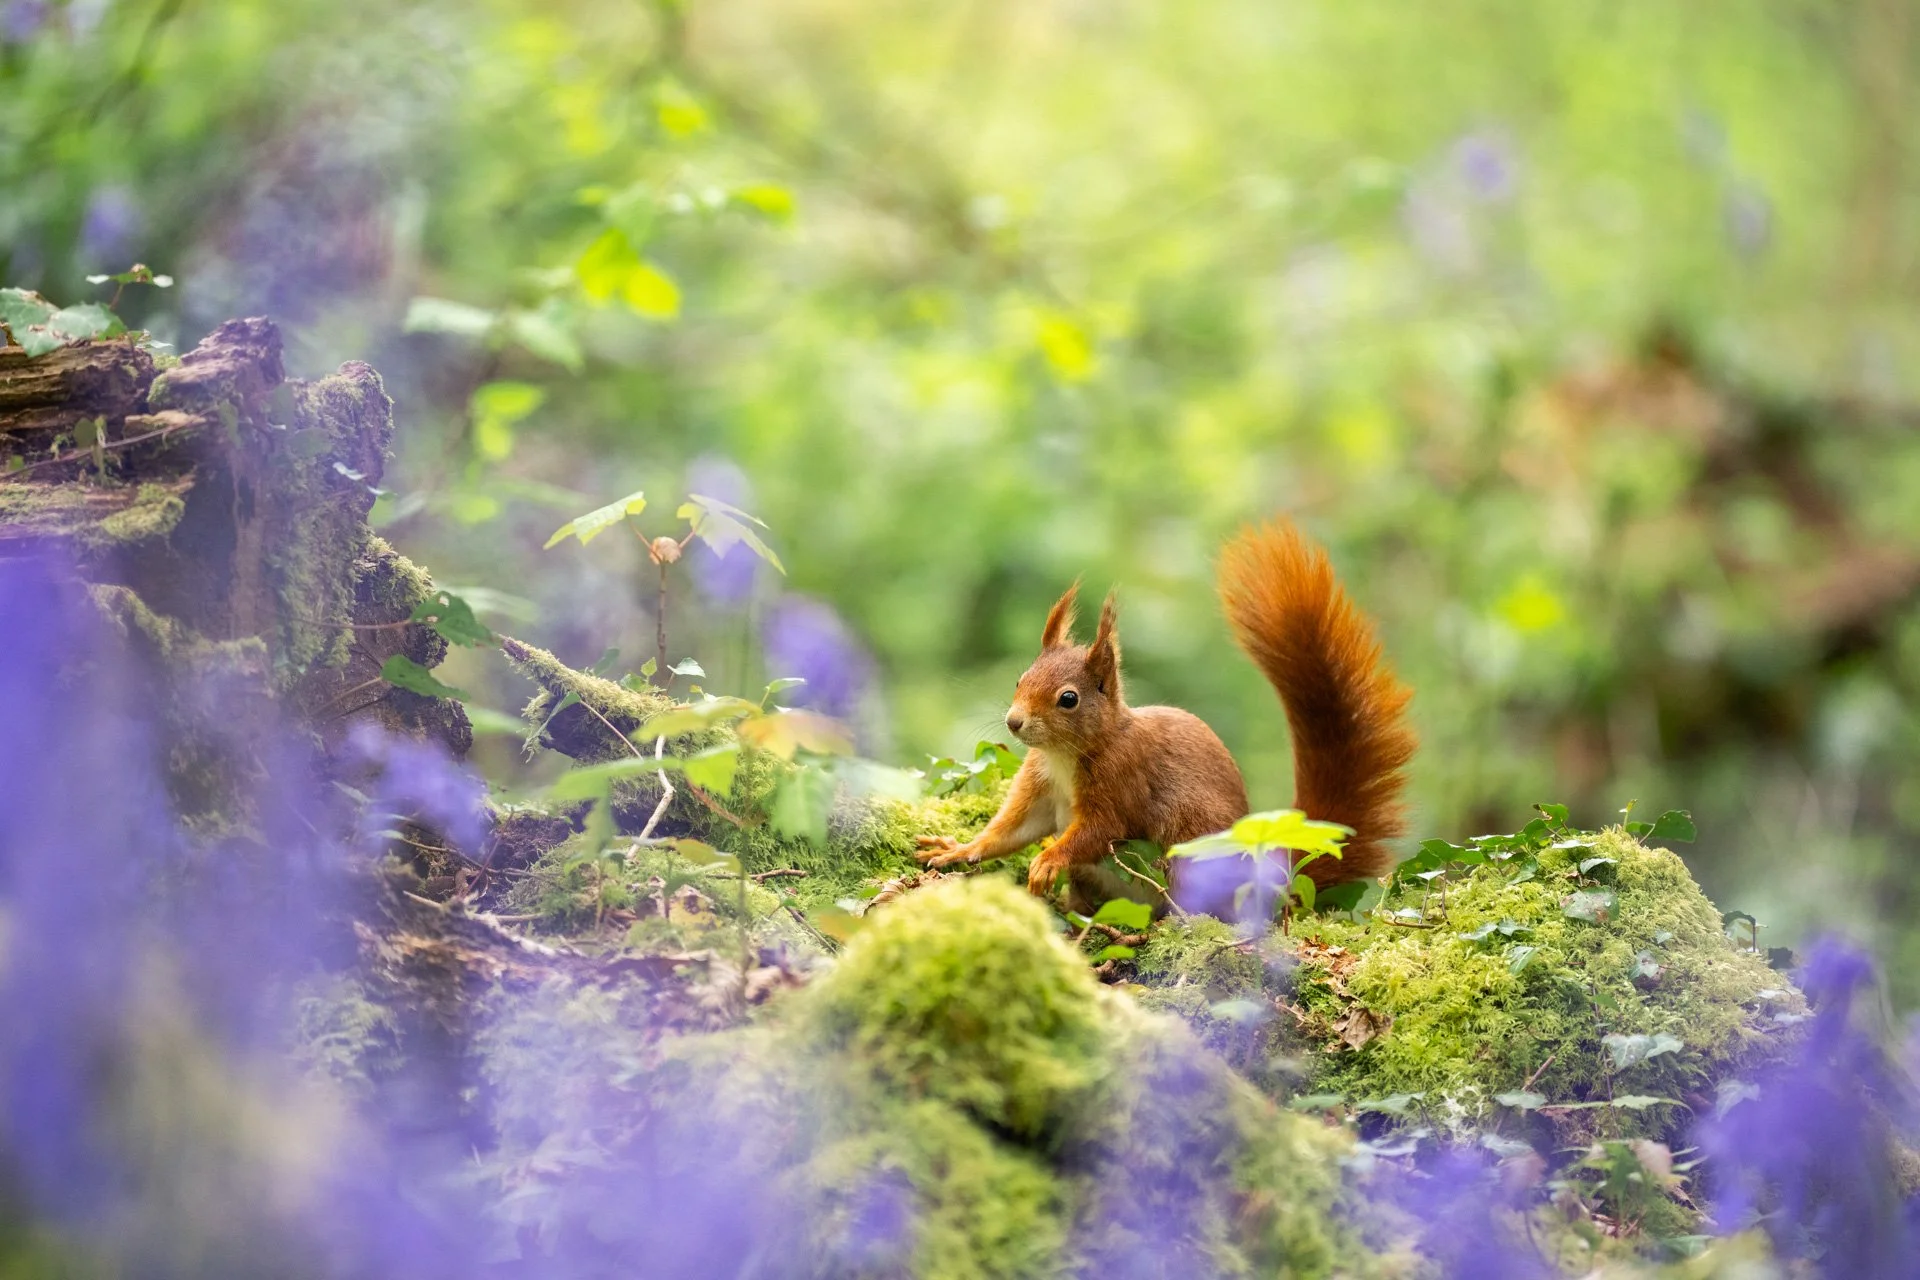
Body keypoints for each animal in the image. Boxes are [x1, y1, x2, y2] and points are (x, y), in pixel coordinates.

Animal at [914, 518, 1416, 908]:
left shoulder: (1121, 782)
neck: (1066, 754)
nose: (1014, 722)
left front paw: (1048, 859)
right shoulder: (1038, 785)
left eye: (1068, 699)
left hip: (1189, 845)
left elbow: (1097, 831)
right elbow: (1009, 831)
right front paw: (958, 848)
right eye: (1020, 680)